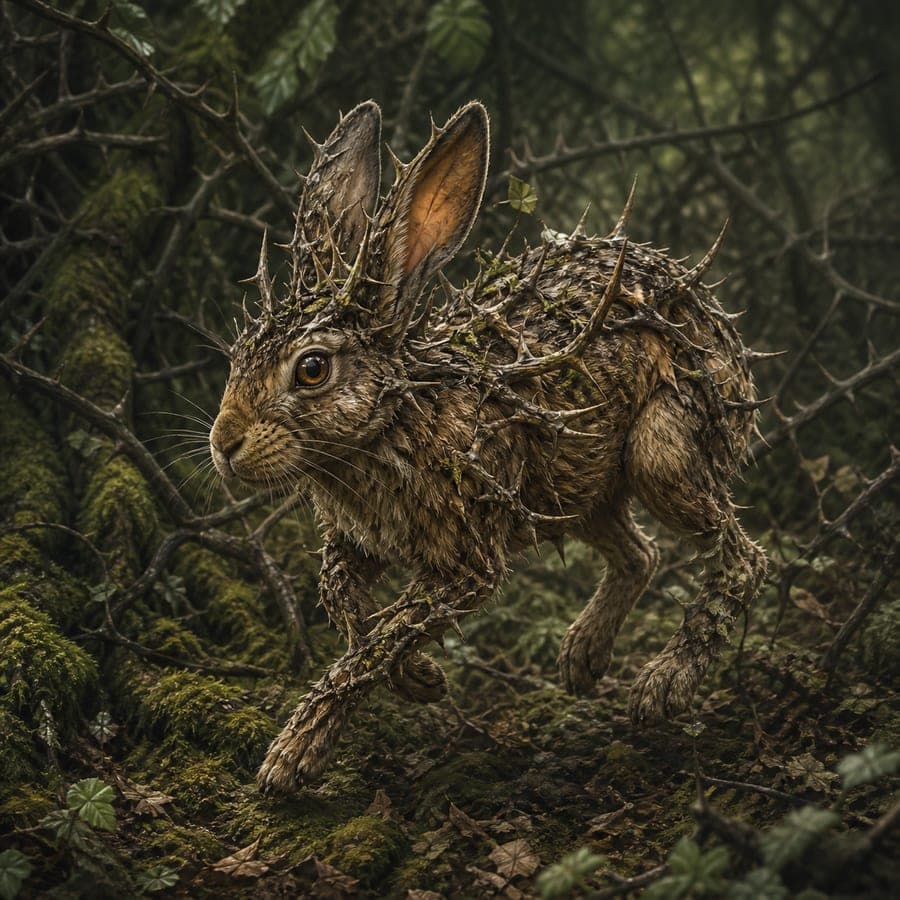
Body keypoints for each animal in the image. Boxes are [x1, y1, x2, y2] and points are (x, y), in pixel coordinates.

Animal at [208, 100, 767, 794]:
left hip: (664, 451)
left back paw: (662, 687)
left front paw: (291, 758)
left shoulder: (468, 561)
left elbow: (379, 641)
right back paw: (582, 660)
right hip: (574, 487)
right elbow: (345, 602)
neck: (399, 416)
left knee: (742, 559)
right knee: (640, 554)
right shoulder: (363, 542)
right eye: (237, 355)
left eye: (312, 370)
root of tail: (723, 333)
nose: (222, 444)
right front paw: (422, 679)